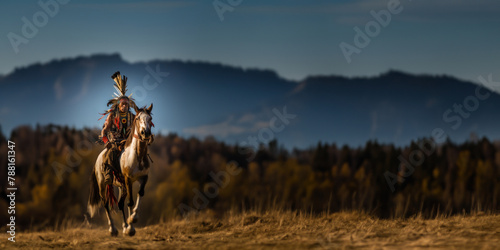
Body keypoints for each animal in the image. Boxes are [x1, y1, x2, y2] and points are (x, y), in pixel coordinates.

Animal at [88, 103, 153, 236]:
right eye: (138, 118)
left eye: (150, 119)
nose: (145, 133)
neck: (137, 156)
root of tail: (97, 160)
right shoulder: (128, 180)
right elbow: (130, 202)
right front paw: (131, 227)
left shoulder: (143, 178)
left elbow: (140, 194)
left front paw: (131, 221)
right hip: (102, 184)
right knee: (106, 204)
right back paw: (113, 229)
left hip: (120, 186)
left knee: (120, 204)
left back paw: (124, 226)